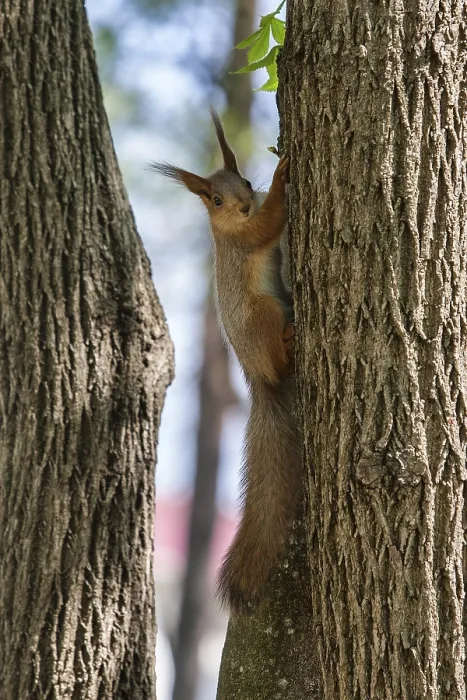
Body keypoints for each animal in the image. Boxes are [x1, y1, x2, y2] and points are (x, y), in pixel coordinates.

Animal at [149, 110, 302, 613]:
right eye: (215, 199)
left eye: (246, 181)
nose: (244, 205)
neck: (224, 225)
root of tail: (258, 379)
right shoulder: (244, 236)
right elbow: (270, 222)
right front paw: (283, 176)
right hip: (265, 313)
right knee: (279, 360)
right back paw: (289, 345)